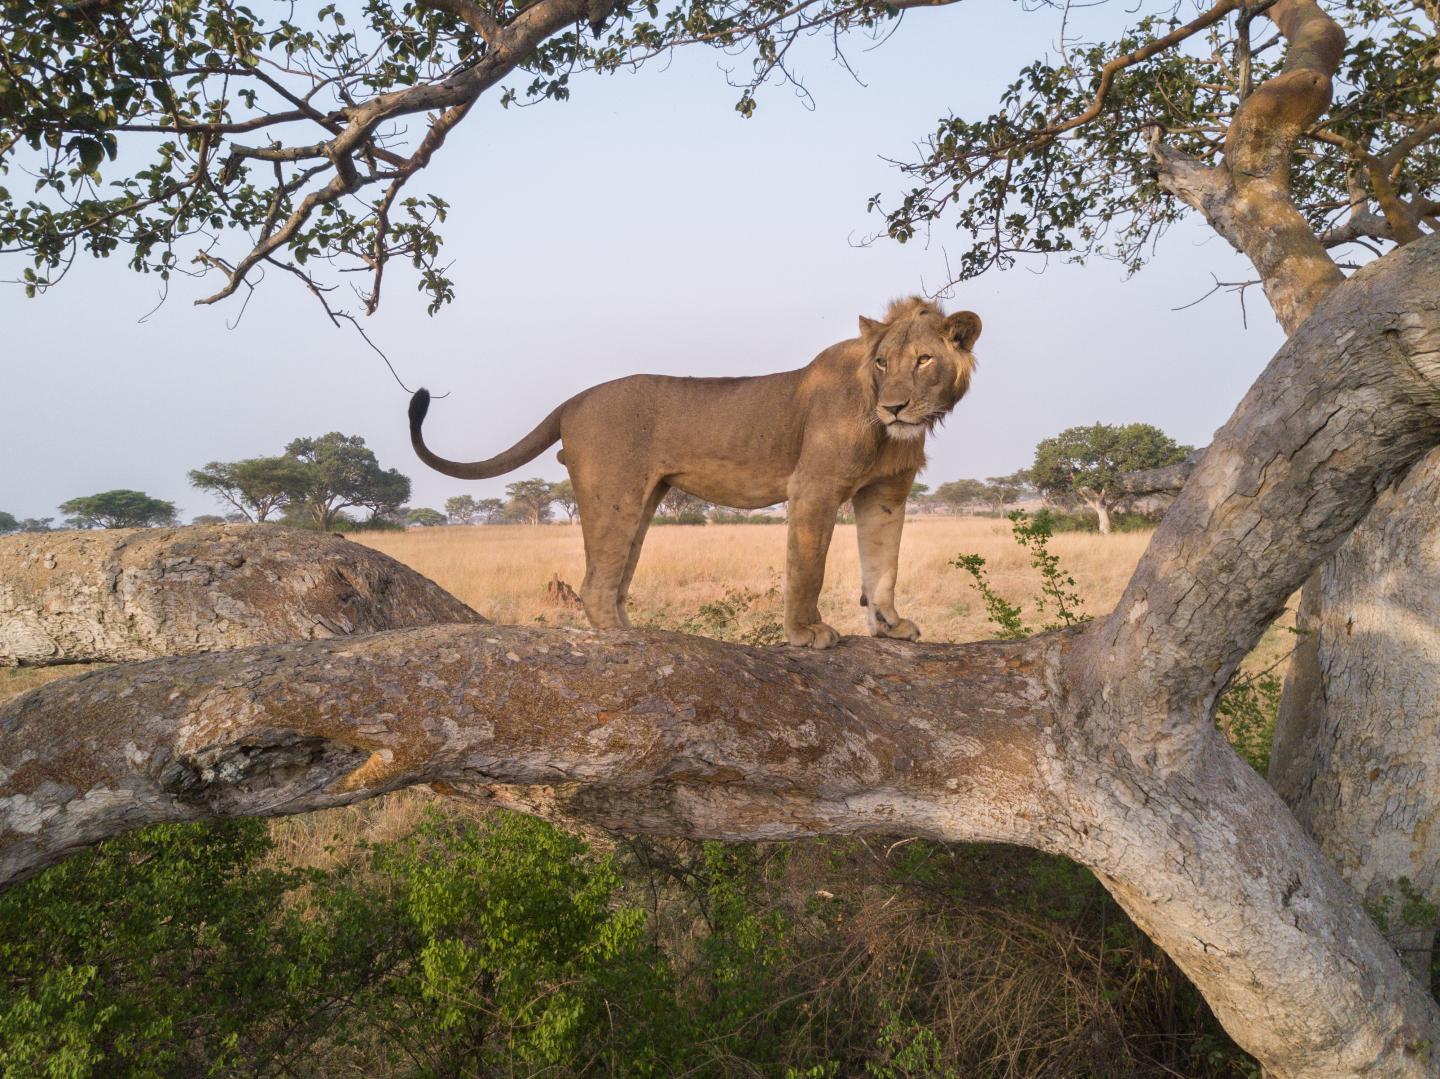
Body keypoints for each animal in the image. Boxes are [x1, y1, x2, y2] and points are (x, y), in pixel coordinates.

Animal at [409, 297, 980, 648]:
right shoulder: (813, 488)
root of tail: (572, 402)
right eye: (882, 362)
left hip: (643, 500)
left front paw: (890, 625)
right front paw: (805, 632)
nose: (894, 407)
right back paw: (626, 643)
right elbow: (808, 569)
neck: (885, 429)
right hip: (614, 494)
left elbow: (883, 566)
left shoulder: (885, 493)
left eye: (924, 360)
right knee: (595, 584)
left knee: (614, 583)